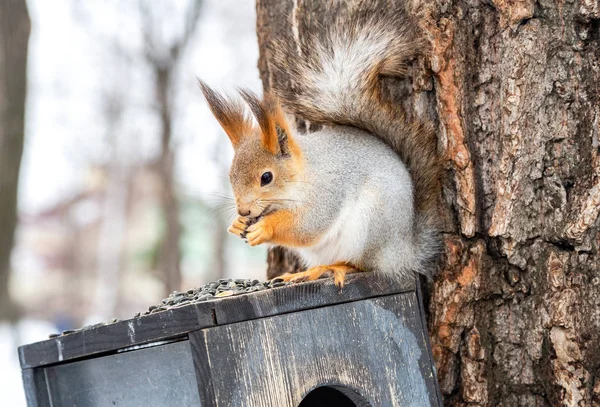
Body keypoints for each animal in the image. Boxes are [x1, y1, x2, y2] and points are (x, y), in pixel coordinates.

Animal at [199, 1, 438, 286]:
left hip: (369, 226)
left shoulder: (327, 191)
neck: (302, 174)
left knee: (361, 264)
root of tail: (403, 252)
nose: (244, 211)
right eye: (231, 176)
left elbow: (308, 226)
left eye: (266, 177)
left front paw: (265, 227)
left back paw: (331, 268)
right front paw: (236, 225)